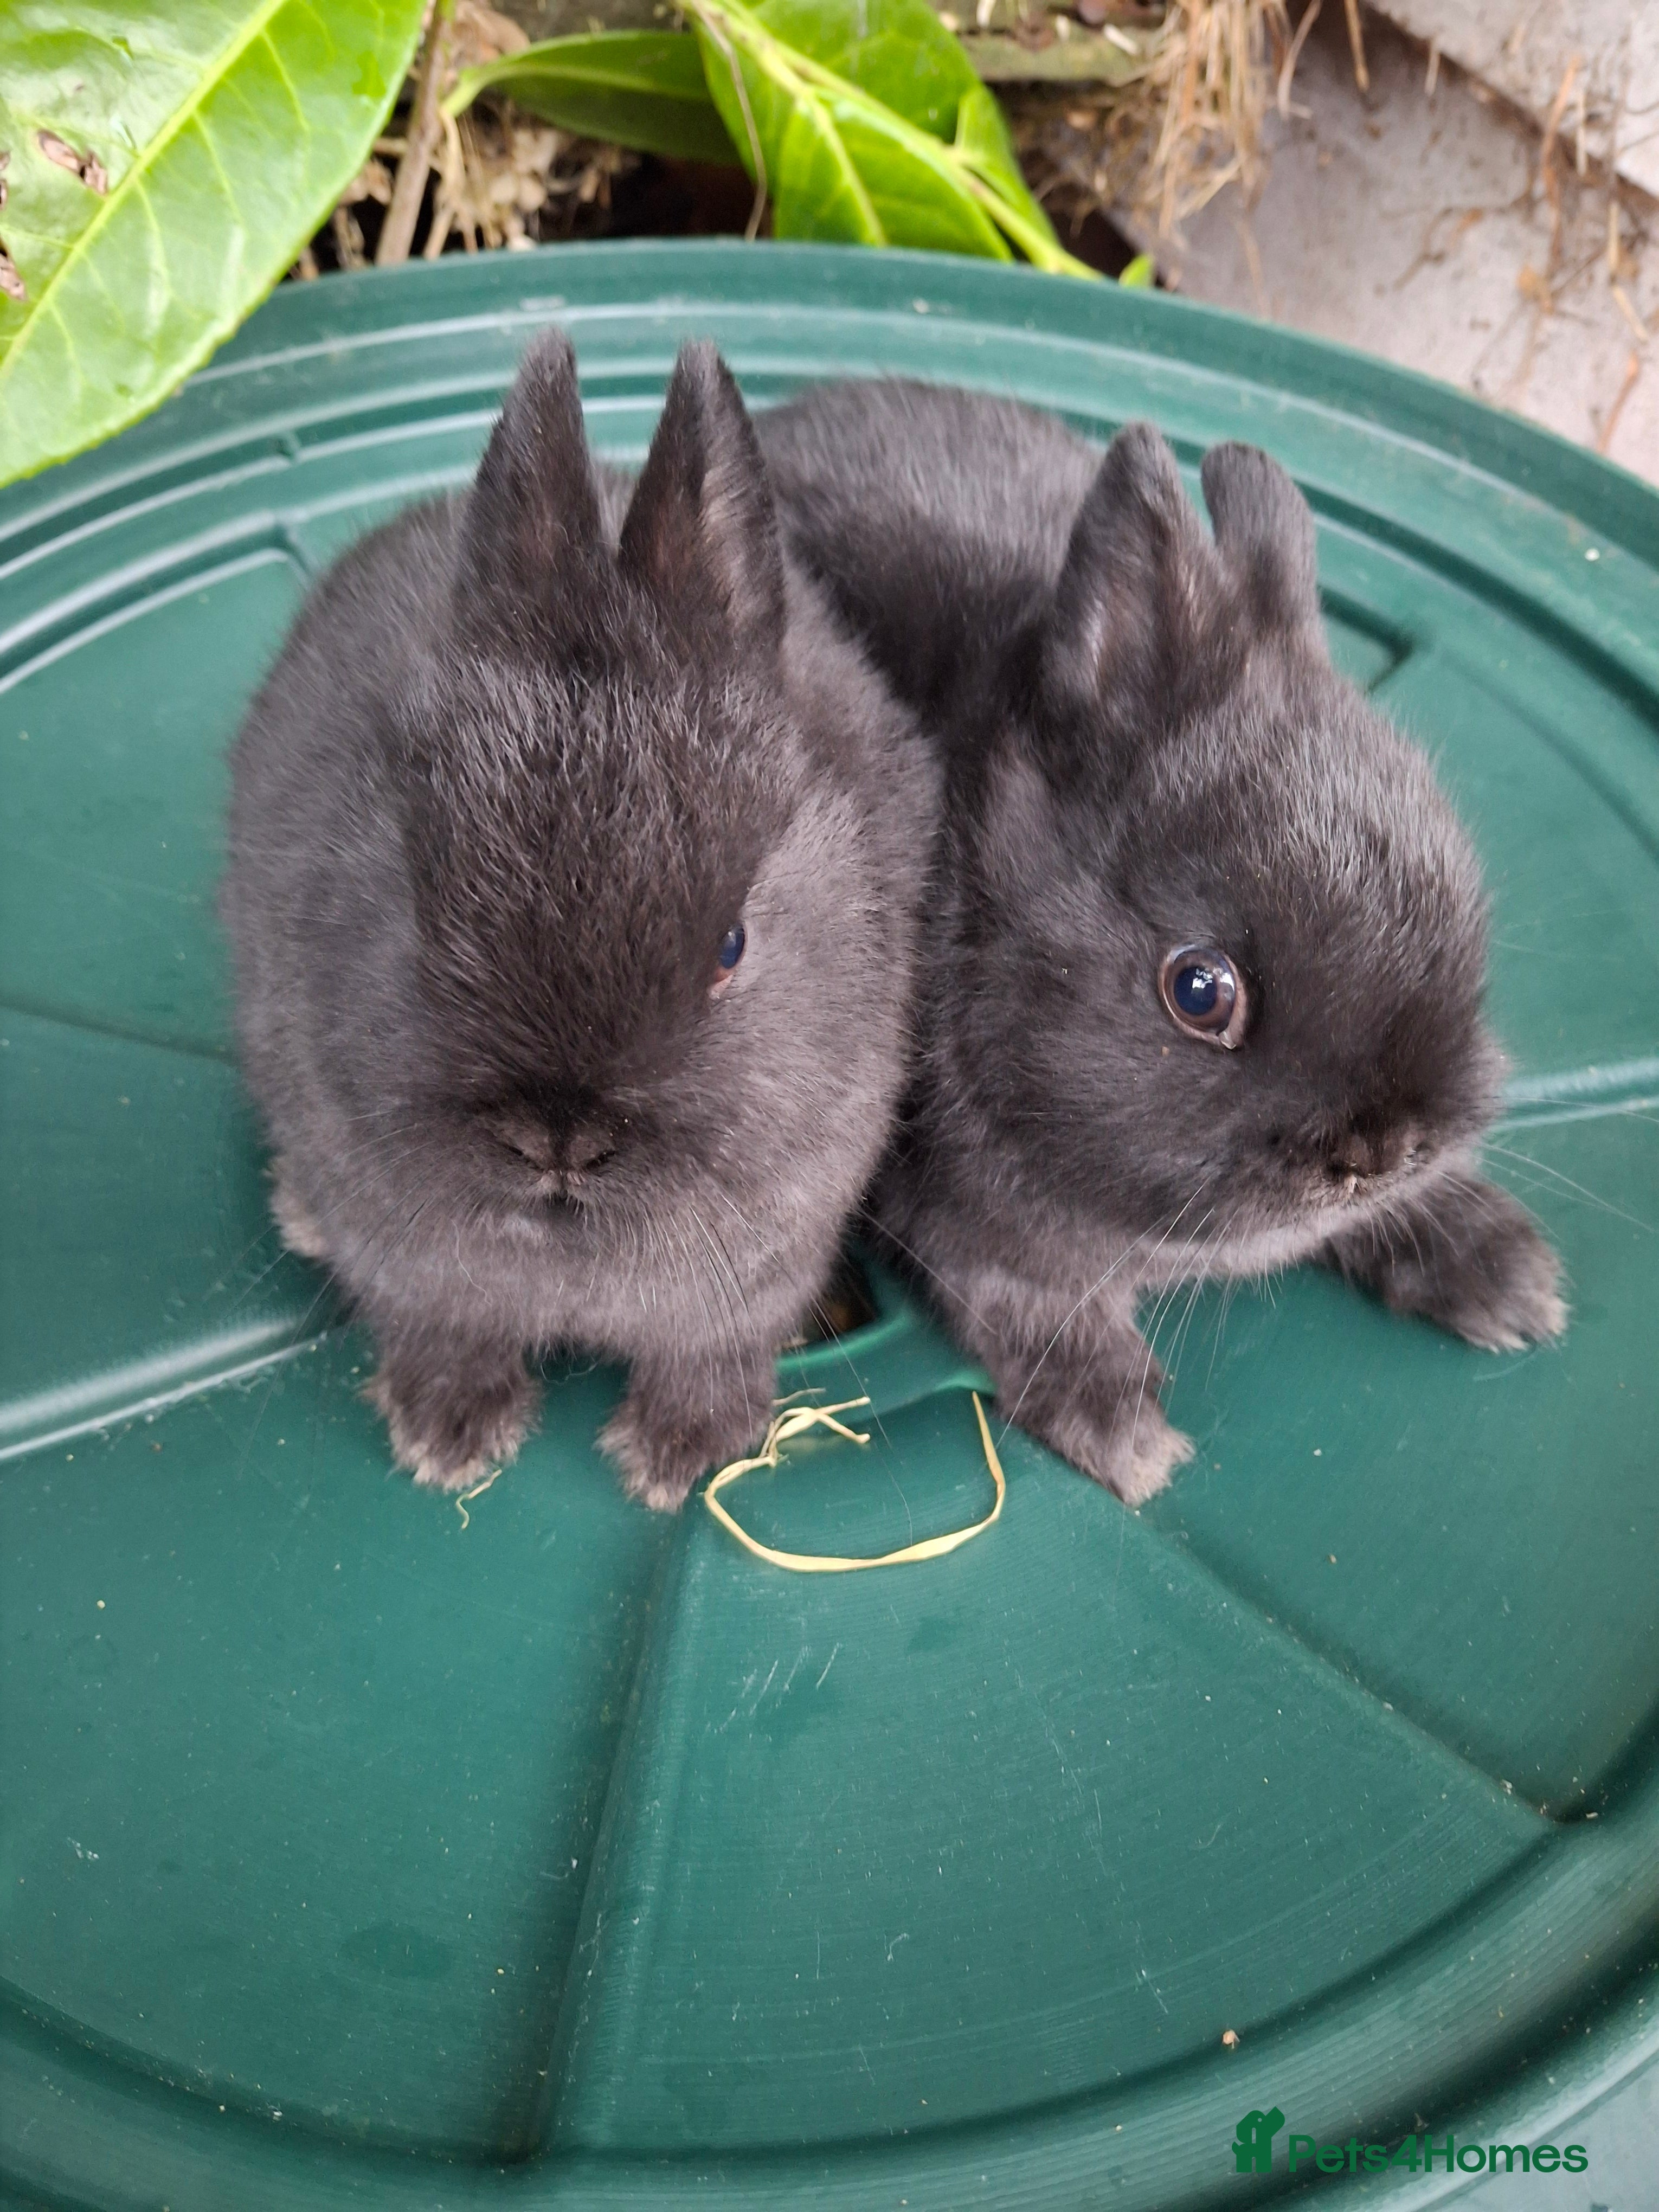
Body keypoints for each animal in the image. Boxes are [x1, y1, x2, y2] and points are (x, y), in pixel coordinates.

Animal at [222, 336, 937, 1509]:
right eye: (419, 901)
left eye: (732, 945)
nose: (557, 1139)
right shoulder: (409, 1258)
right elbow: (441, 1330)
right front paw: (449, 1439)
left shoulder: (758, 1268)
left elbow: (708, 1353)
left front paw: (678, 1457)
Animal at [757, 381, 1565, 1505]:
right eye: (1199, 991)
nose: (1379, 1152)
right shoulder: (967, 1223)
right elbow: (1023, 1304)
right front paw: (1124, 1433)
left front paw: (1508, 1275)